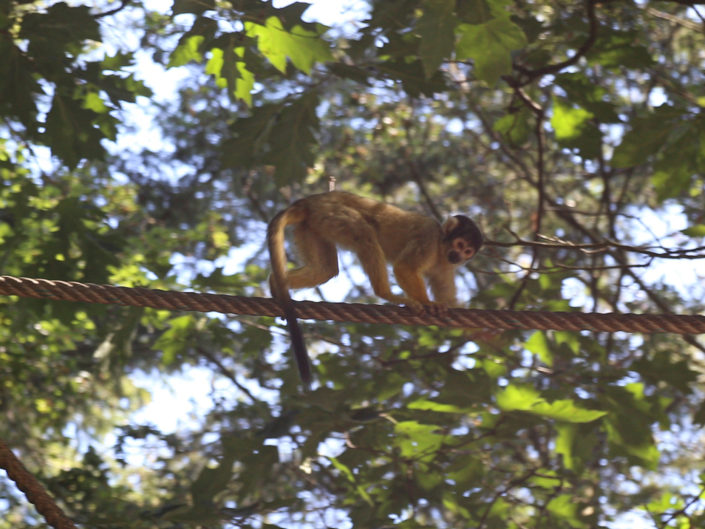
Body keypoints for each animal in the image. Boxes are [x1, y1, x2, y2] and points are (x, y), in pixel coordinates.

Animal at [267, 191, 483, 386]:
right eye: (460, 244)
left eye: (467, 251)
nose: (458, 256)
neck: (440, 247)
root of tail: (309, 201)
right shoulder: (428, 237)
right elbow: (404, 267)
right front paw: (427, 302)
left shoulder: (446, 266)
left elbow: (448, 299)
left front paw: (485, 336)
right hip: (330, 214)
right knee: (364, 233)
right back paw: (386, 293)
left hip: (312, 226)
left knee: (325, 269)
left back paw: (276, 284)